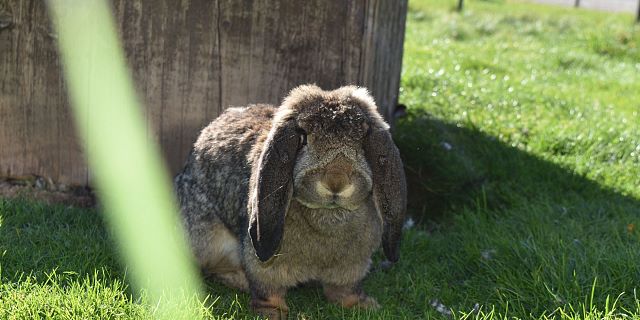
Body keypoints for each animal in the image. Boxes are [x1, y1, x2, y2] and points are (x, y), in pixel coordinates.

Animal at [175, 84, 404, 318]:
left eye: (362, 141)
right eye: (303, 139)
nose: (336, 182)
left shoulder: (352, 266)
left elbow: (345, 290)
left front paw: (364, 306)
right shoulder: (263, 263)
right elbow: (268, 291)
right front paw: (272, 313)